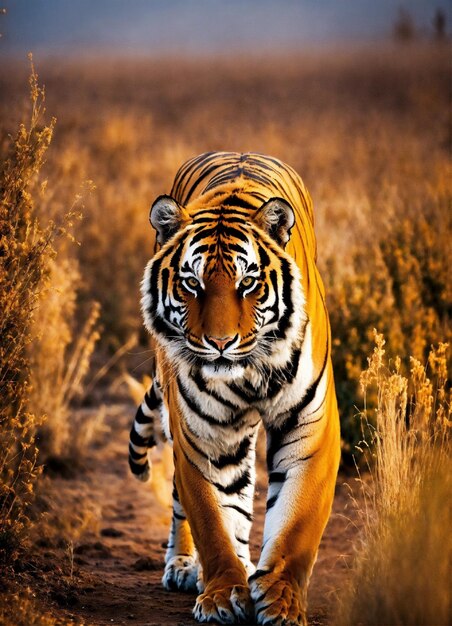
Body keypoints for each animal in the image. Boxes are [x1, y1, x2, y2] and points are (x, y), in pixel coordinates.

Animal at [127, 152, 340, 624]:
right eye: (192, 283)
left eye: (248, 283)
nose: (220, 343)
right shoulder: (206, 437)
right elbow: (213, 519)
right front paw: (224, 593)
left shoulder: (310, 428)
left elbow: (296, 524)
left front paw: (281, 599)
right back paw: (186, 567)